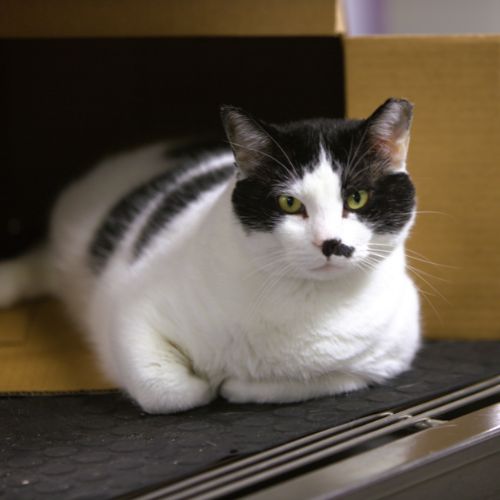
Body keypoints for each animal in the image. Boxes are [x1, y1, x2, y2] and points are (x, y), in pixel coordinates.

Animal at [0, 98, 422, 414]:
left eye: (357, 198)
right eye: (289, 203)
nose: (330, 243)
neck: (307, 306)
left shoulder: (390, 357)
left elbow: (319, 381)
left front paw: (237, 384)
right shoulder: (129, 311)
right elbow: (168, 390)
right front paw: (208, 385)